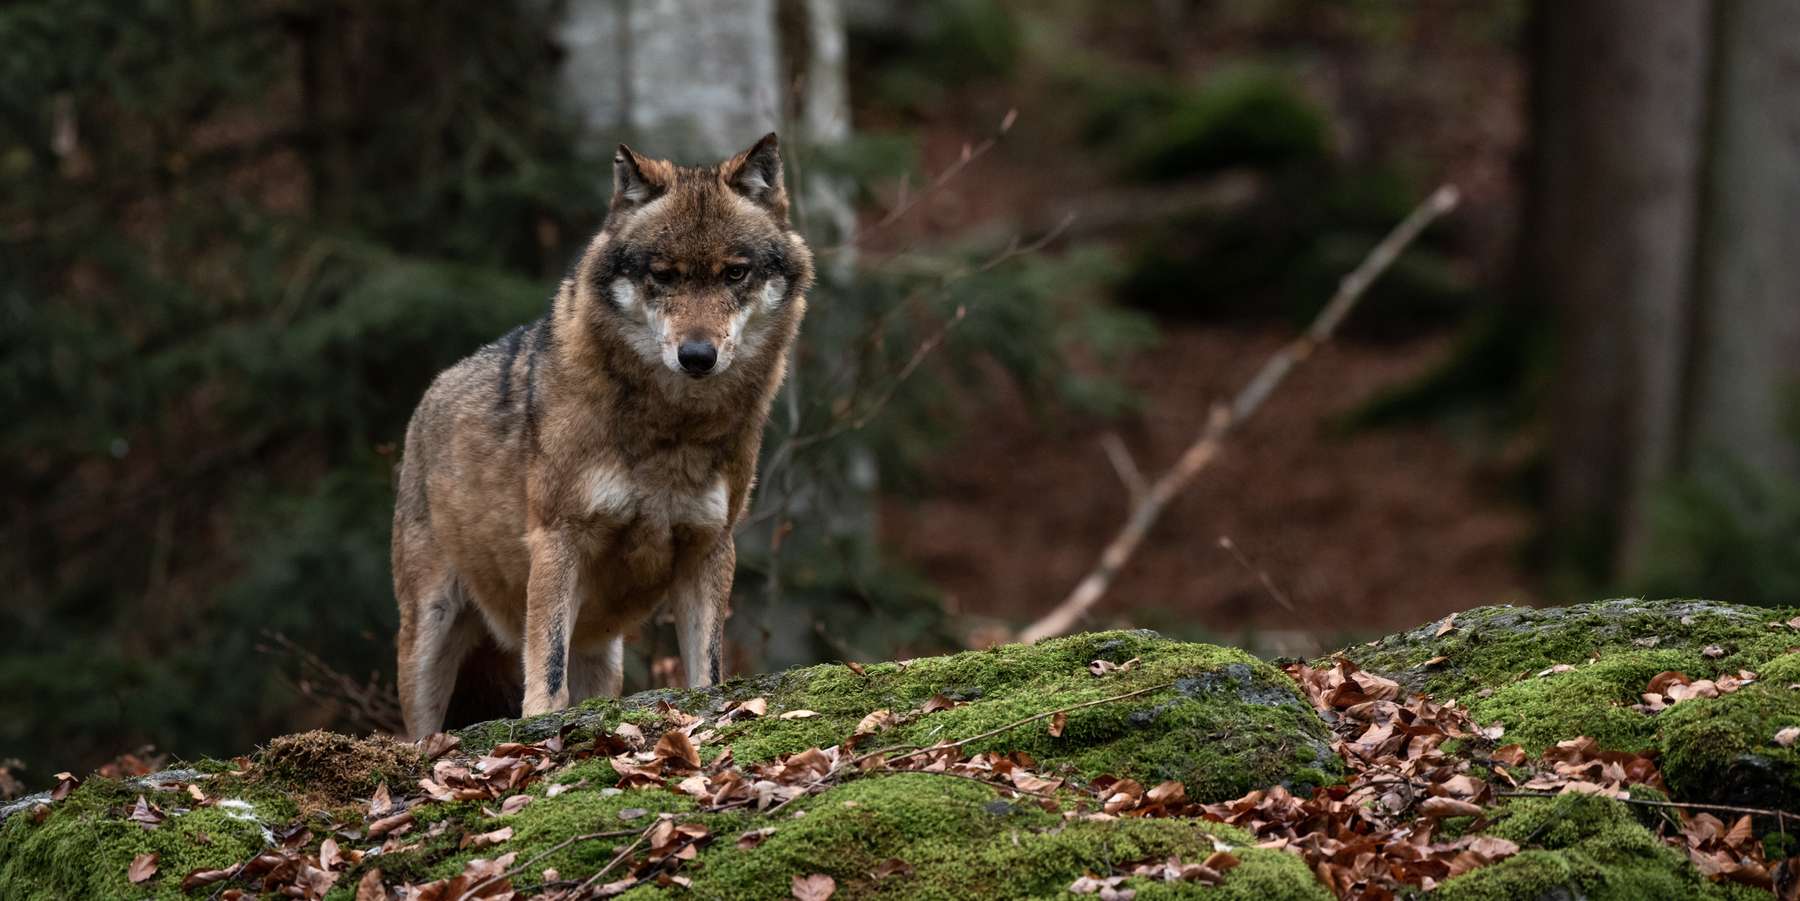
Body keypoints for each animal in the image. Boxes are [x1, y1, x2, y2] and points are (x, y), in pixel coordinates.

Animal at [391, 134, 813, 739]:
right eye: (663, 274)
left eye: (735, 274)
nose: (697, 356)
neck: (671, 429)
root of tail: (430, 395)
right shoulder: (558, 538)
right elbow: (547, 668)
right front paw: (540, 726)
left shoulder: (710, 546)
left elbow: (707, 671)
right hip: (430, 635)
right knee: (422, 729)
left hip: (602, 653)